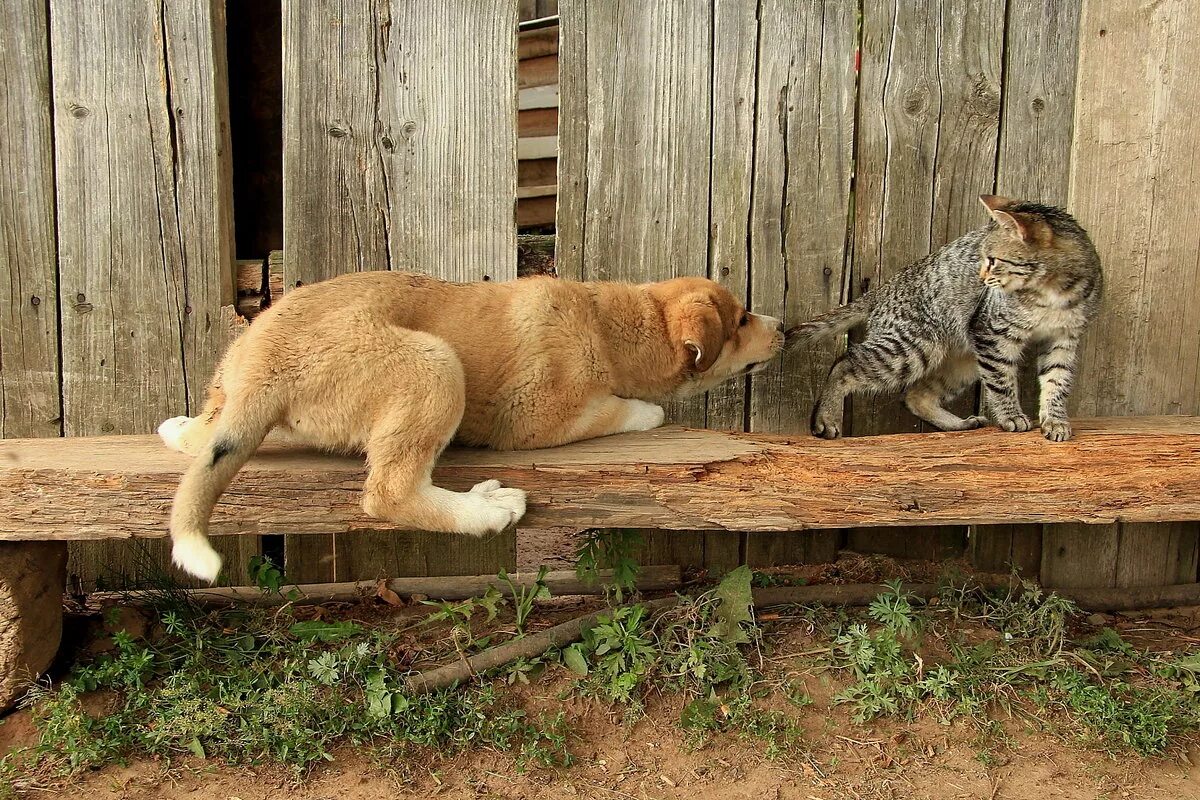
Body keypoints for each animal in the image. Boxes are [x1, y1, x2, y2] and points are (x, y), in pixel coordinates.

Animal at [159, 271, 782, 582]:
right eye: (741, 321)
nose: (786, 328)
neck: (614, 321)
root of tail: (264, 373)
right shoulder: (535, 418)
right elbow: (621, 408)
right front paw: (650, 411)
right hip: (433, 365)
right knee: (390, 493)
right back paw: (487, 508)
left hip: (230, 378)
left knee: (207, 434)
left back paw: (178, 426)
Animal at [787, 194, 1104, 443]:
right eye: (984, 258)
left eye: (992, 261)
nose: (981, 278)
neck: (1052, 291)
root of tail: (884, 288)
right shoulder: (991, 333)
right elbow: (1001, 381)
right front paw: (1011, 416)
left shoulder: (1063, 339)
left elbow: (1057, 380)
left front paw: (1056, 420)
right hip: (914, 348)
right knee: (845, 363)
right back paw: (826, 417)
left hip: (960, 360)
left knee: (916, 396)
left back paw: (958, 424)